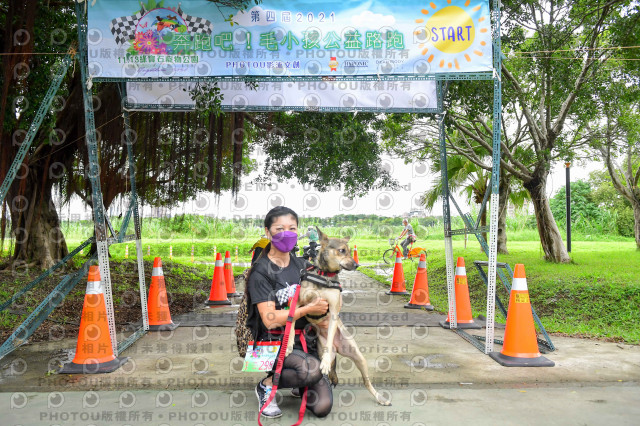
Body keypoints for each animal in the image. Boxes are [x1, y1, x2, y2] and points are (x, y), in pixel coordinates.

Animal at [286, 230, 390, 406]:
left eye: (349, 250)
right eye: (342, 250)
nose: (356, 265)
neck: (324, 275)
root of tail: (338, 347)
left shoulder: (334, 311)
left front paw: (325, 363)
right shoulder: (299, 302)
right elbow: (292, 322)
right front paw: (288, 345)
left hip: (358, 357)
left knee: (366, 381)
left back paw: (380, 397)